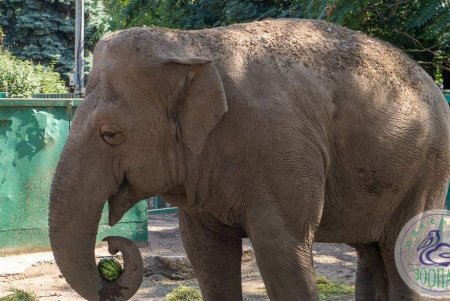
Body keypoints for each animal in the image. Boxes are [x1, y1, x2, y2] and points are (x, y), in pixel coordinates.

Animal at [49, 19, 450, 300]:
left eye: (111, 134)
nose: (111, 249)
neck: (191, 42)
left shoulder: (281, 151)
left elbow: (281, 250)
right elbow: (206, 254)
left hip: (429, 168)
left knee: (400, 249)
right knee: (371, 253)